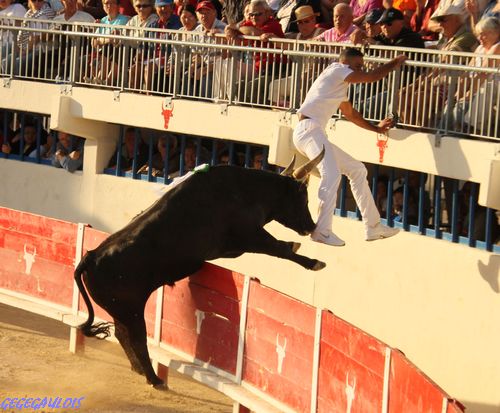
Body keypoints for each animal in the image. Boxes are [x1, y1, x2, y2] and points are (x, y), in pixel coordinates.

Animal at [73, 150, 324, 386]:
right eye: (303, 197)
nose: (311, 226)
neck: (246, 190)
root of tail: (91, 257)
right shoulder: (249, 236)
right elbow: (280, 248)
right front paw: (314, 262)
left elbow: (280, 247)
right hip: (131, 310)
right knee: (136, 339)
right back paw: (154, 379)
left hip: (121, 310)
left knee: (122, 334)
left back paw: (140, 370)